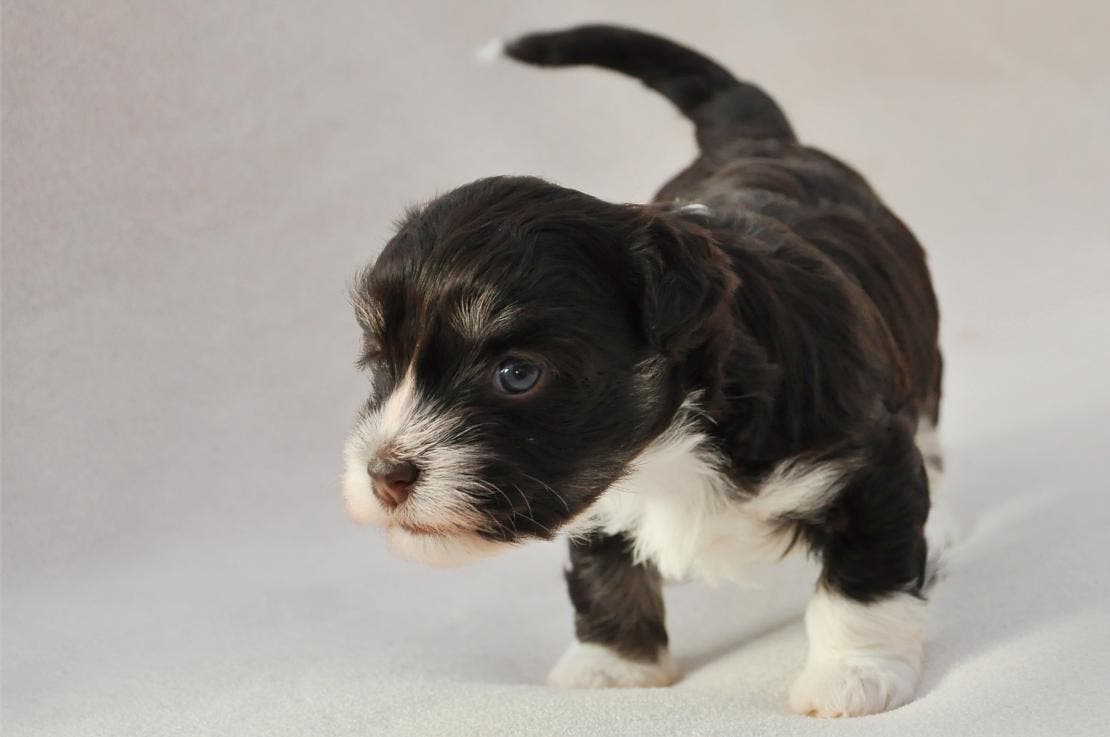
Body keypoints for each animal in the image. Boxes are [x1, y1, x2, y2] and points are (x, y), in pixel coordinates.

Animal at [341, 24, 950, 719]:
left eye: (517, 374)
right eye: (382, 363)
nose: (384, 475)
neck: (675, 444)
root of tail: (758, 137)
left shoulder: (867, 456)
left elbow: (865, 577)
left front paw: (853, 676)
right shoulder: (600, 485)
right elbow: (605, 571)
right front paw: (613, 668)